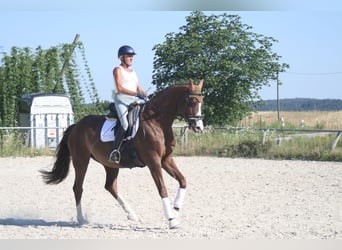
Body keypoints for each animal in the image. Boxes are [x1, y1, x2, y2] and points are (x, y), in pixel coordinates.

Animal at [41, 78, 204, 229]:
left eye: (201, 101)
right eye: (191, 102)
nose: (199, 127)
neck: (157, 123)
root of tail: (76, 126)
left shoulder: (166, 159)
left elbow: (183, 180)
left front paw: (175, 210)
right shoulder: (153, 161)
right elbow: (162, 189)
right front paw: (171, 220)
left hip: (110, 163)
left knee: (110, 186)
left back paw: (132, 215)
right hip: (81, 161)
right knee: (78, 188)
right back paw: (81, 219)